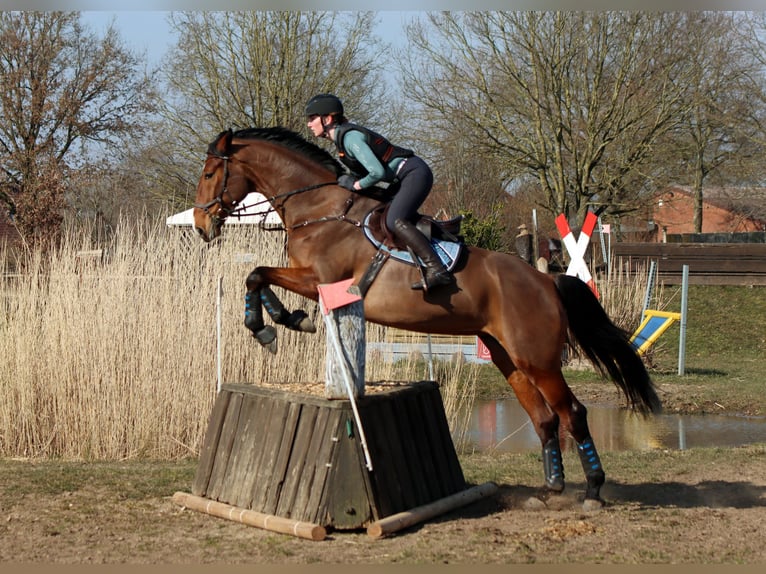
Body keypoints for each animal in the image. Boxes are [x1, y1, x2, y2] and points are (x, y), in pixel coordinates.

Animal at [192, 126, 661, 508]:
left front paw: (269, 326)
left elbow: (256, 274)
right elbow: (258, 276)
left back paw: (593, 491)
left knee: (573, 414)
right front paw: (284, 320)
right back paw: (551, 489)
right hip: (507, 357)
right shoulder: (312, 280)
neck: (318, 206)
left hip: (539, 359)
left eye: (211, 173)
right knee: (545, 419)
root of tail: (547, 281)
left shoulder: (320, 279)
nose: (200, 225)